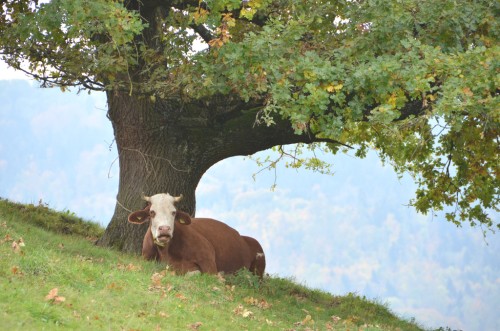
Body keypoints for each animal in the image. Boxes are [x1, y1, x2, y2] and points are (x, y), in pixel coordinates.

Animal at [129, 193, 266, 278]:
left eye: (173, 212)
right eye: (152, 212)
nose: (164, 229)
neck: (166, 253)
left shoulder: (208, 263)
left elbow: (196, 273)